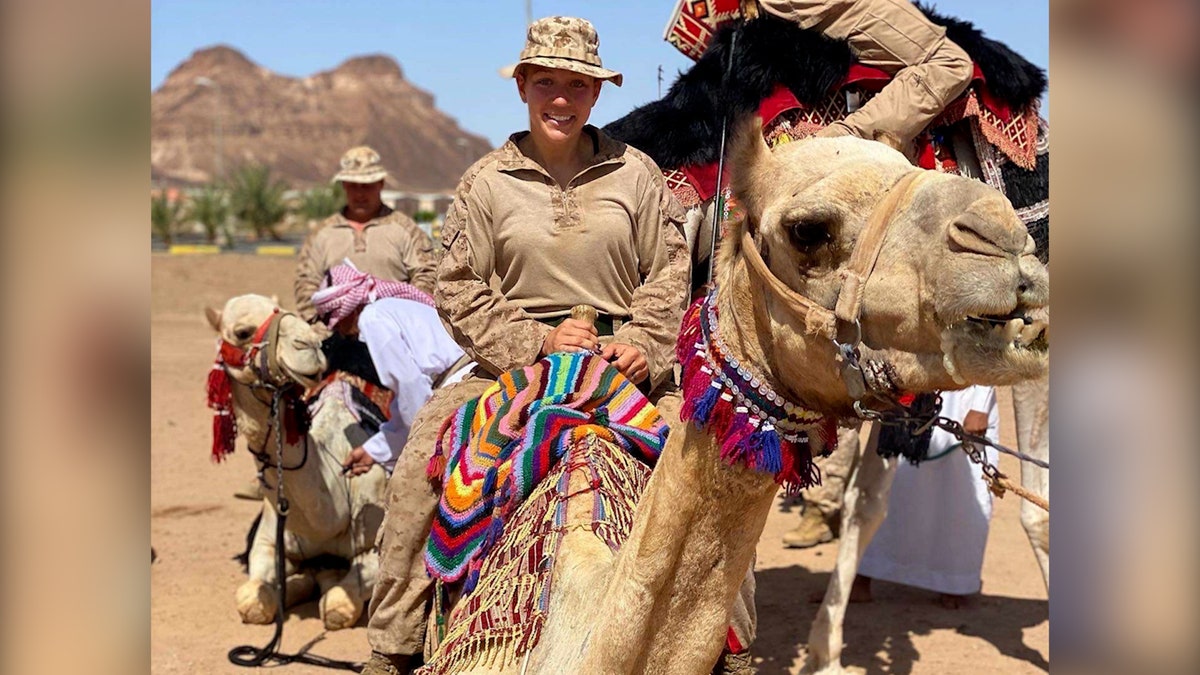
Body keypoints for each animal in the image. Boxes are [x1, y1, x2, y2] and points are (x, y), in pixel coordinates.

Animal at [205, 294, 384, 629]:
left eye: (285, 312)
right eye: (243, 332)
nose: (309, 345)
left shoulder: (374, 544)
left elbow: (337, 604)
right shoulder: (268, 540)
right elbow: (253, 601)